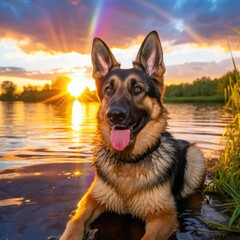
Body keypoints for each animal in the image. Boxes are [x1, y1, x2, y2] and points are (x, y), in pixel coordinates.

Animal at [60, 31, 206, 239]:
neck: (129, 161)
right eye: (108, 90)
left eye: (137, 89)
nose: (114, 115)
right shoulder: (90, 200)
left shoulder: (164, 216)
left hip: (196, 156)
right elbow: (75, 222)